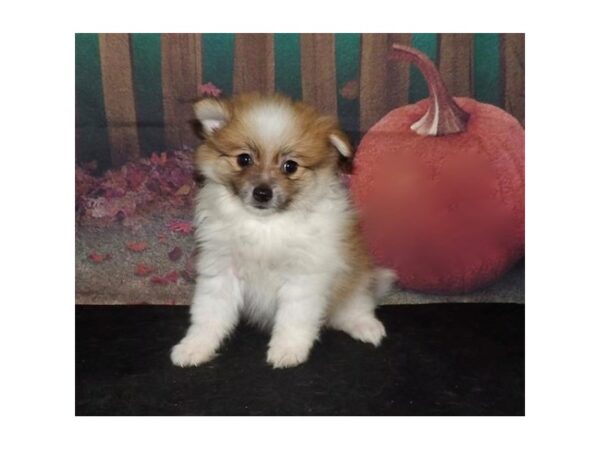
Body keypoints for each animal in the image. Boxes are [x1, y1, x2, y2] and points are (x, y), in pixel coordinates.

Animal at [170, 93, 394, 368]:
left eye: (290, 166)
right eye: (244, 159)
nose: (262, 193)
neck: (265, 225)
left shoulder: (303, 277)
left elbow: (294, 319)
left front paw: (287, 350)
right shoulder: (221, 269)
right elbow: (208, 314)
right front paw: (194, 347)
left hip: (356, 277)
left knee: (356, 306)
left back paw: (367, 327)